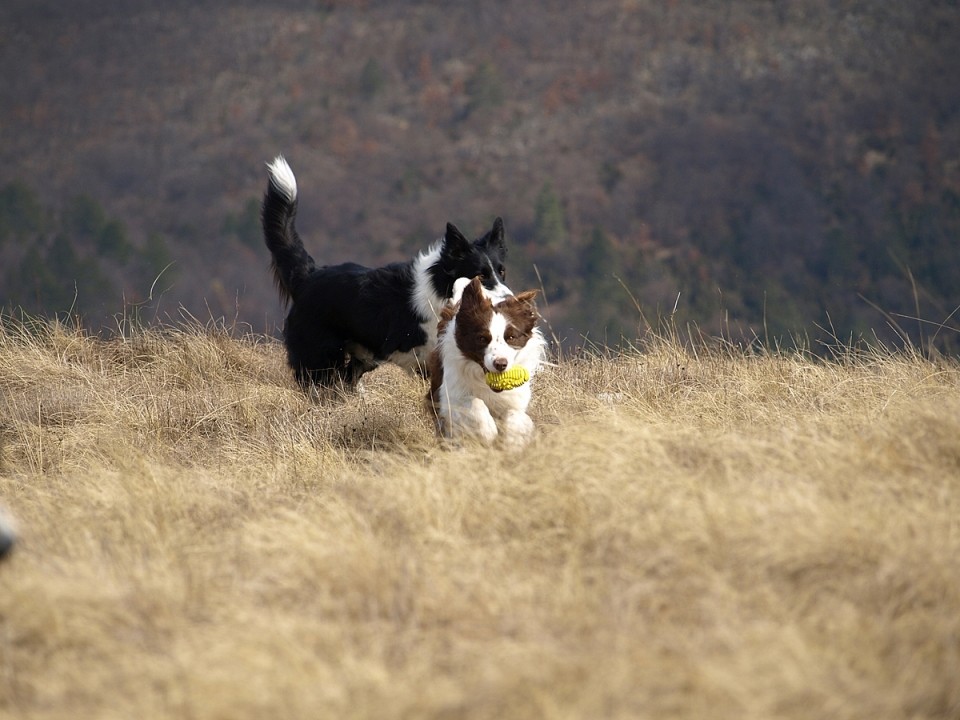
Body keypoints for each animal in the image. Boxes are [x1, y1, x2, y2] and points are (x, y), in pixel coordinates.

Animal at [258, 155, 512, 390]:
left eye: (502, 271)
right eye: (480, 276)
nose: (509, 299)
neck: (442, 288)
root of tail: (309, 276)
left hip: (360, 357)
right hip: (320, 356)